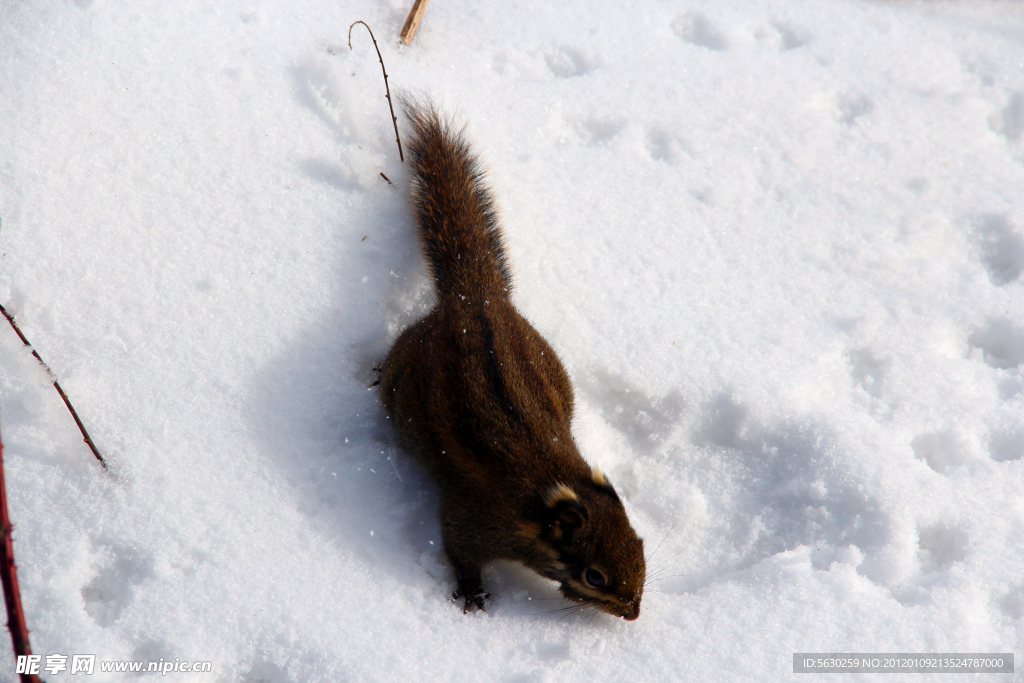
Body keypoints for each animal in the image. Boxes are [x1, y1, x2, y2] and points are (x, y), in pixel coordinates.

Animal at [380, 101, 643, 618]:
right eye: (595, 575)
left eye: (639, 543)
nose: (634, 610)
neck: (540, 499)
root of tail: (476, 297)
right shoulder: (474, 521)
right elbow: (459, 552)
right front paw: (472, 593)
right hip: (402, 382)